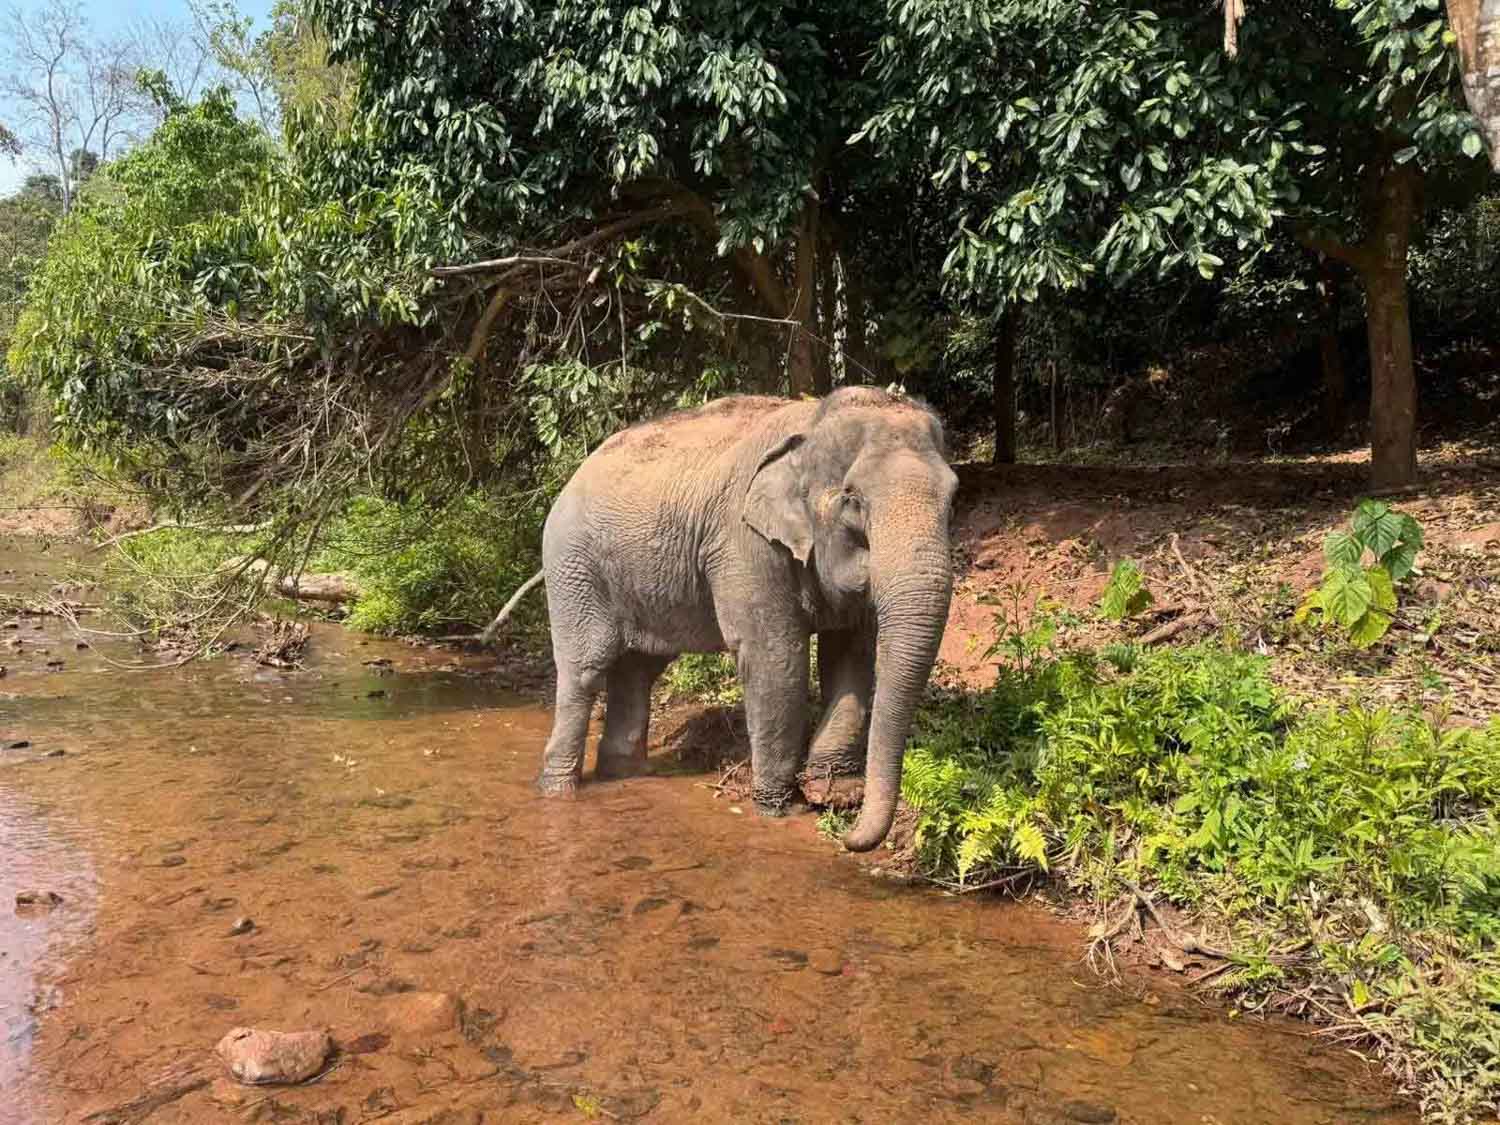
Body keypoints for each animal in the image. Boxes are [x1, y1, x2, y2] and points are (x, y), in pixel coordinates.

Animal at [533, 385, 957, 852]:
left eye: (954, 497)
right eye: (853, 498)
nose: (848, 837)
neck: (811, 421)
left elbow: (850, 653)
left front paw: (835, 793)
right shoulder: (743, 543)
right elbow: (776, 657)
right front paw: (780, 808)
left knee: (638, 669)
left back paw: (624, 775)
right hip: (573, 569)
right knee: (586, 668)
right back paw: (559, 791)